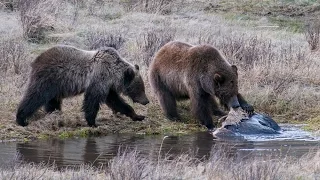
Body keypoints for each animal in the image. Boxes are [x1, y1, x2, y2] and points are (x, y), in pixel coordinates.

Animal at [15, 45, 149, 126]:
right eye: (140, 88)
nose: (146, 101)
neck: (113, 73)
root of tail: (35, 60)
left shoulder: (108, 86)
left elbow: (116, 101)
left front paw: (138, 116)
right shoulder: (99, 79)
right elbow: (92, 100)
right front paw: (92, 122)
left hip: (56, 85)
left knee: (52, 101)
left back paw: (55, 115)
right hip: (48, 79)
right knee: (35, 96)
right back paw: (21, 119)